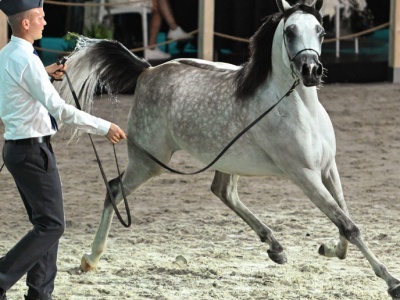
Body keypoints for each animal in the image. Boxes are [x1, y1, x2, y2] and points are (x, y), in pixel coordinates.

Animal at [55, 0, 400, 298]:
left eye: (321, 31)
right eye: (290, 31)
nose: (311, 71)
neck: (299, 108)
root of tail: (147, 70)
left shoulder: (328, 168)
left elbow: (345, 220)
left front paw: (329, 249)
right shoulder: (304, 175)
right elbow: (347, 224)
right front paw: (391, 281)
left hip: (227, 160)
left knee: (223, 191)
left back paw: (275, 247)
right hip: (148, 161)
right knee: (114, 189)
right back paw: (91, 257)